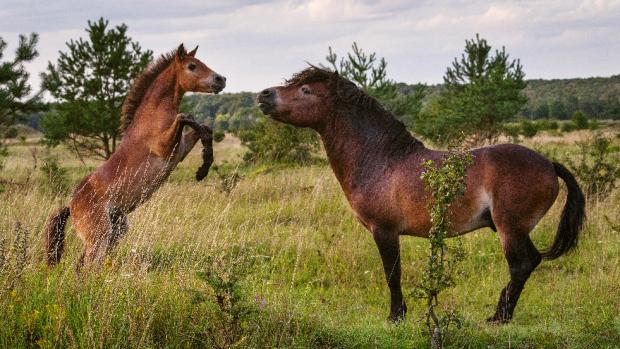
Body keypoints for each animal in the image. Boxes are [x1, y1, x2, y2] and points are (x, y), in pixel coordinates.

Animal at [45, 43, 225, 266]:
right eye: (192, 66)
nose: (221, 79)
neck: (153, 115)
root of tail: (71, 205)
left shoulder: (179, 150)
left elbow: (204, 129)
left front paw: (203, 170)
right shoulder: (165, 147)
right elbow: (186, 117)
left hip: (116, 232)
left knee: (82, 265)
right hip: (100, 236)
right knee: (88, 266)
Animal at [256, 66, 588, 322]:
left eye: (306, 90)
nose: (263, 95)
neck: (382, 160)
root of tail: (548, 163)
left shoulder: (384, 231)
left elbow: (392, 274)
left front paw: (396, 316)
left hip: (511, 229)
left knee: (521, 265)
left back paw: (499, 318)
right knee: (529, 263)